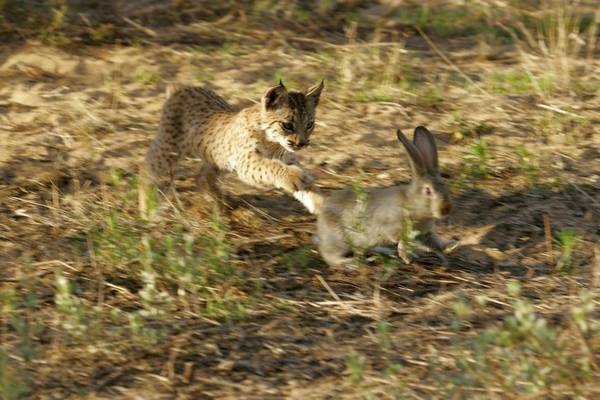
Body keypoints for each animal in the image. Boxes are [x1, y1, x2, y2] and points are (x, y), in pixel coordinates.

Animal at [316, 126, 458, 268]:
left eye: (444, 185)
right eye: (428, 191)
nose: (446, 209)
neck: (412, 203)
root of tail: (321, 221)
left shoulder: (426, 233)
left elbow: (435, 243)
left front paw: (450, 245)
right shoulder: (389, 224)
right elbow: (399, 237)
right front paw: (406, 255)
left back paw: (385, 251)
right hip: (339, 239)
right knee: (329, 255)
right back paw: (349, 263)